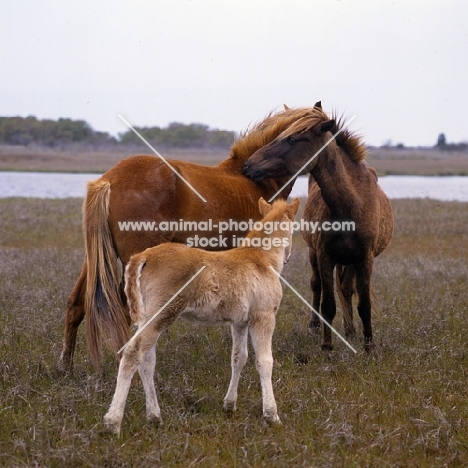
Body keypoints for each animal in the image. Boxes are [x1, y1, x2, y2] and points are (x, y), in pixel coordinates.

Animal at [57, 105, 318, 370]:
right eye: (290, 138)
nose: (252, 166)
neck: (255, 182)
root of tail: (108, 180)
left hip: (94, 260)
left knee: (76, 303)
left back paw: (65, 366)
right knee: (124, 312)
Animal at [243, 103, 394, 352]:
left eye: (292, 139)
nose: (248, 165)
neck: (350, 205)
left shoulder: (365, 258)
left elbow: (364, 304)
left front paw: (369, 347)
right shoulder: (325, 255)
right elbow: (328, 304)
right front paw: (327, 347)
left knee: (346, 289)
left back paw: (350, 331)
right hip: (315, 254)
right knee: (317, 287)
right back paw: (316, 327)